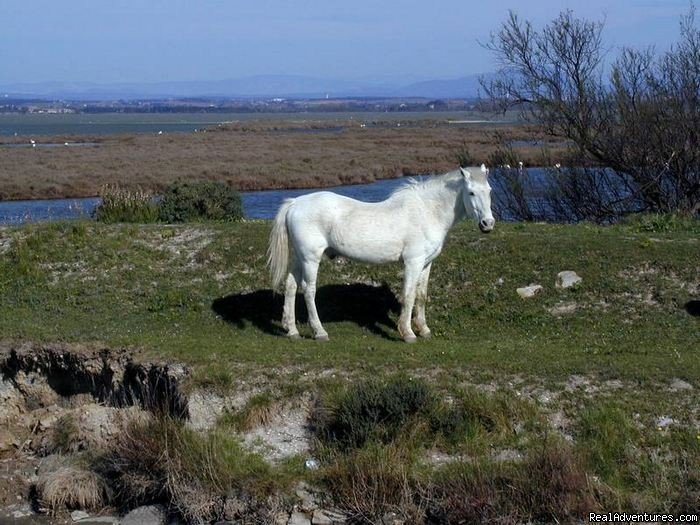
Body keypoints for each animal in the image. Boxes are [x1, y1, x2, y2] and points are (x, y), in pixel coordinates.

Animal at [266, 166, 494, 342]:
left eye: (489, 190)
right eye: (471, 192)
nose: (488, 224)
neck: (426, 211)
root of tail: (295, 203)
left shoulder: (426, 263)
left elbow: (421, 295)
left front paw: (424, 330)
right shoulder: (413, 262)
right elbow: (409, 295)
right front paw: (408, 333)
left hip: (299, 258)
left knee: (291, 286)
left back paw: (292, 331)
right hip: (310, 258)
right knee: (308, 290)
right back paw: (319, 332)